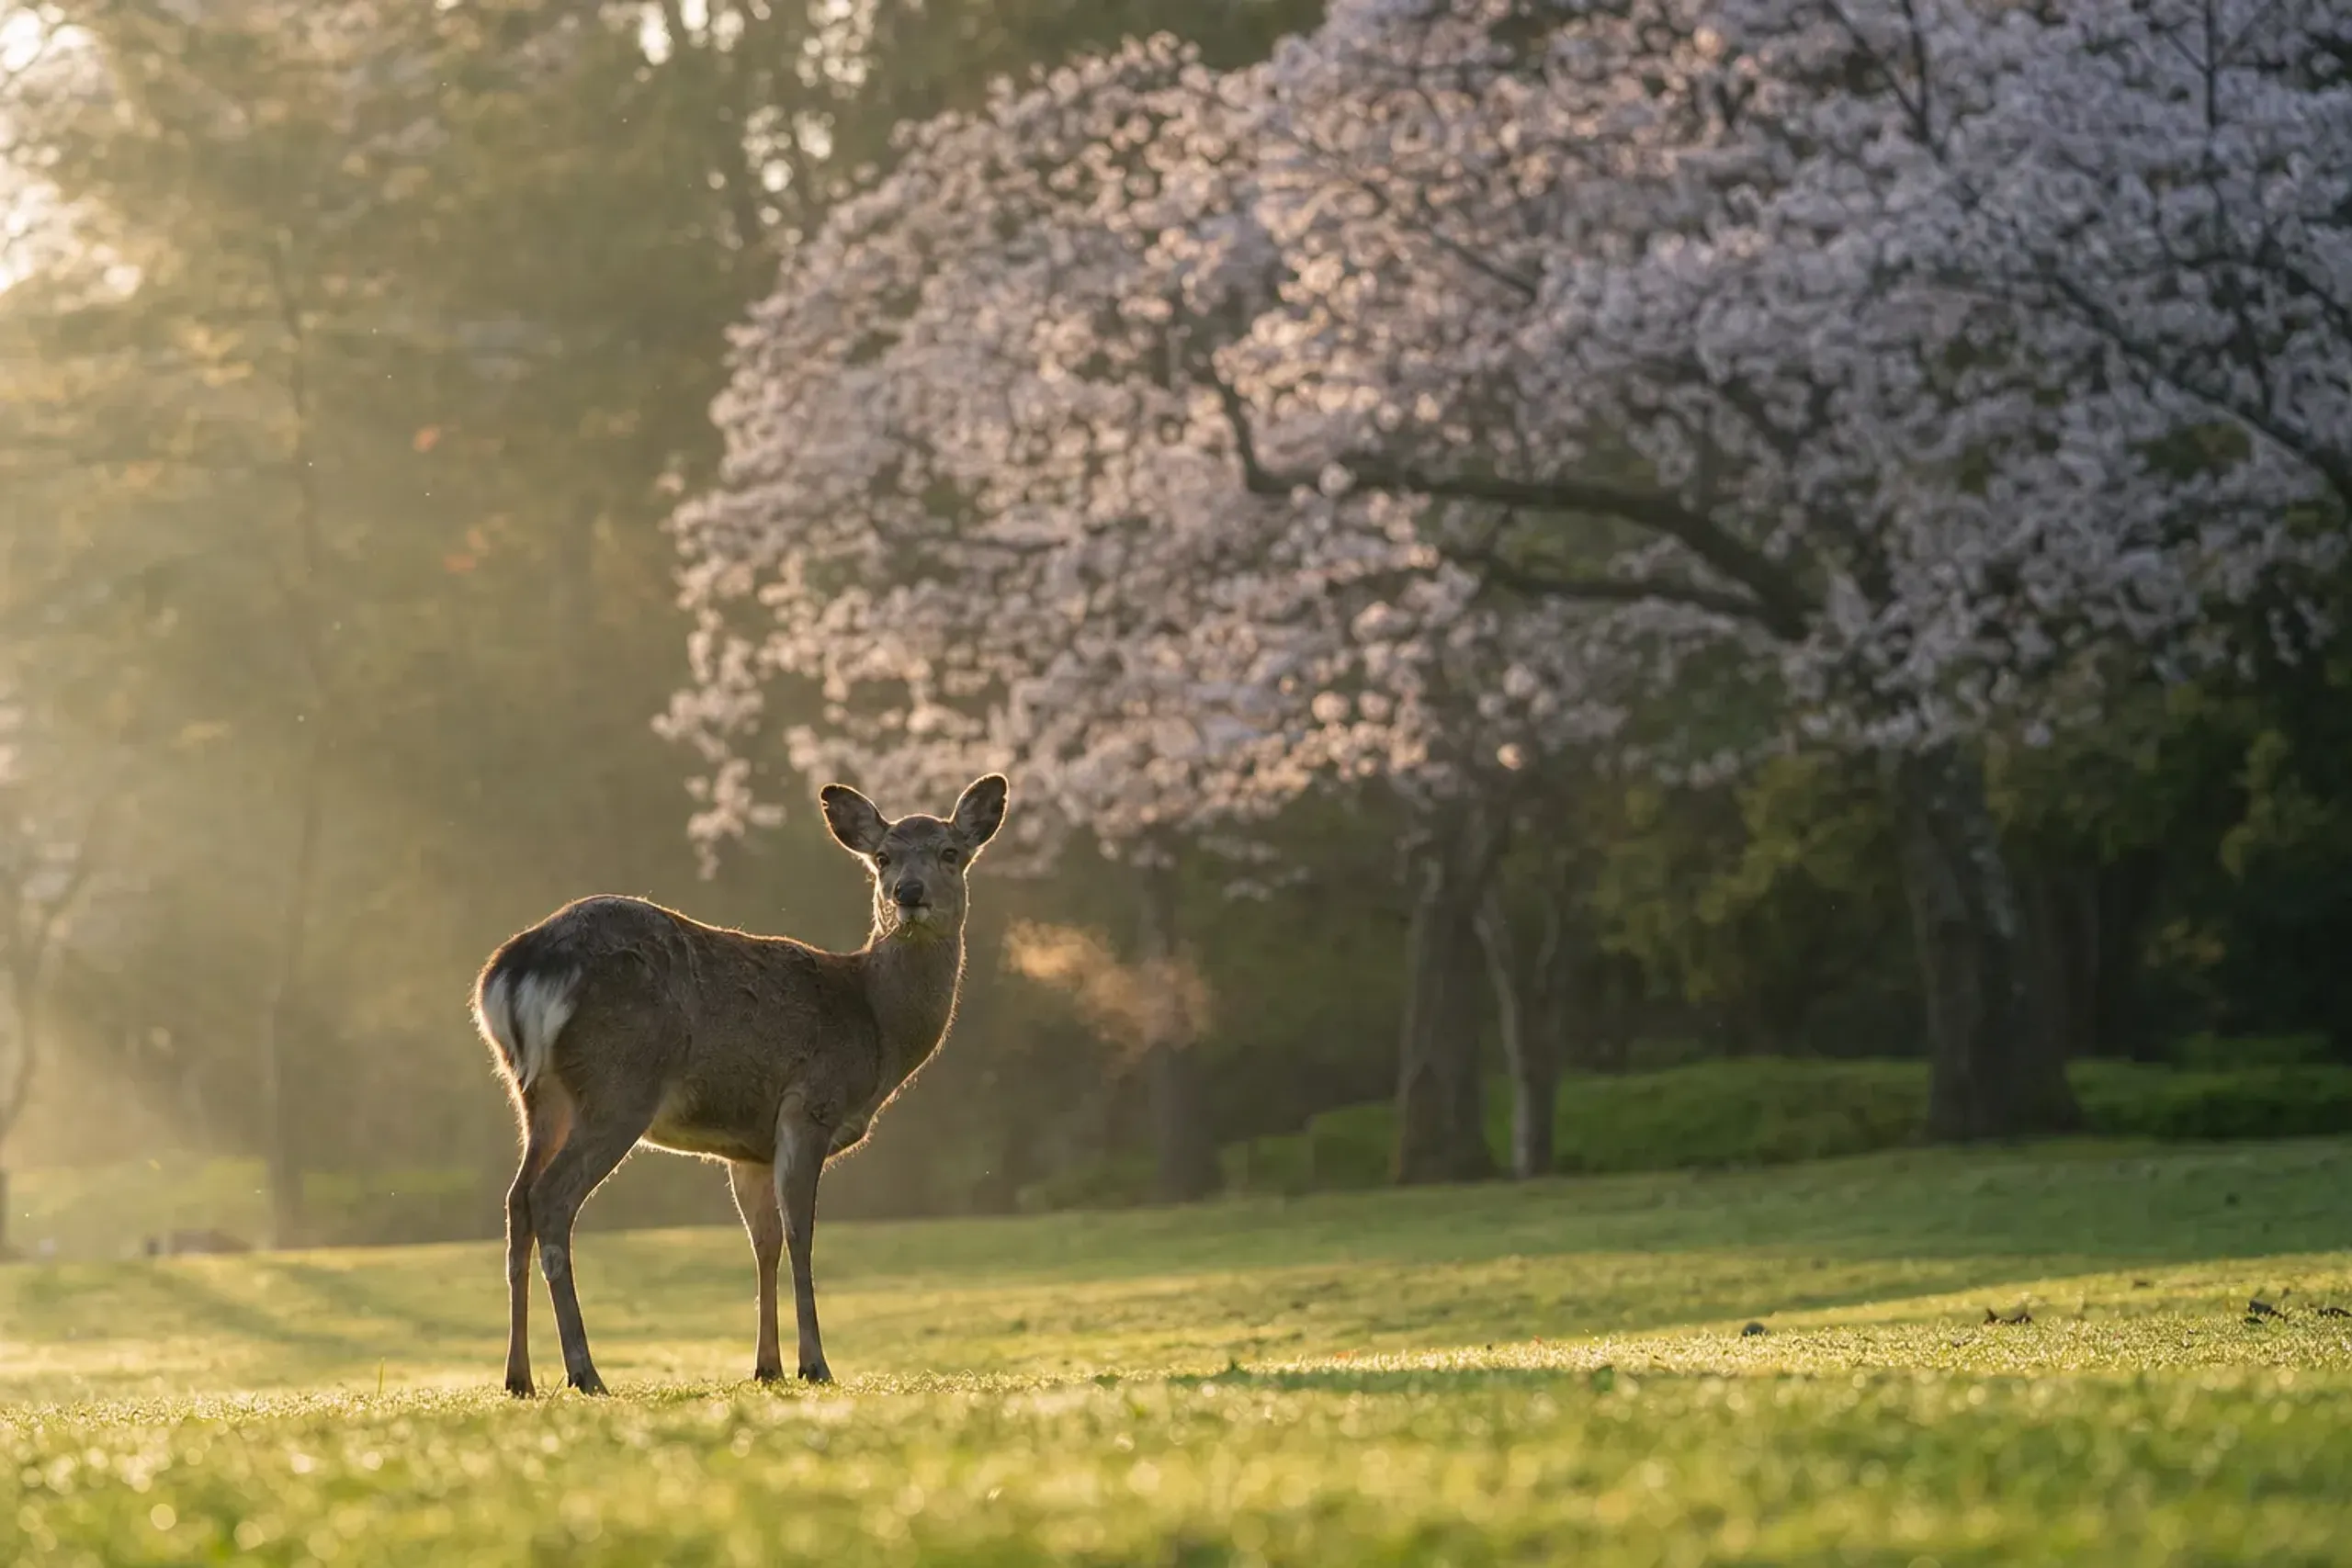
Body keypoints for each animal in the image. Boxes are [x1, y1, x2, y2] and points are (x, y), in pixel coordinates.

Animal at [470, 773, 1009, 1396]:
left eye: (950, 853)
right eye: (882, 858)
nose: (909, 892)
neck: (877, 1027)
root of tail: (516, 970)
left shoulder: (748, 1145)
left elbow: (764, 1243)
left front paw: (767, 1366)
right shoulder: (809, 1103)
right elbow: (801, 1234)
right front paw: (814, 1365)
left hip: (536, 1094)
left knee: (516, 1199)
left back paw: (519, 1377)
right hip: (619, 1084)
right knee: (551, 1196)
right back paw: (585, 1372)